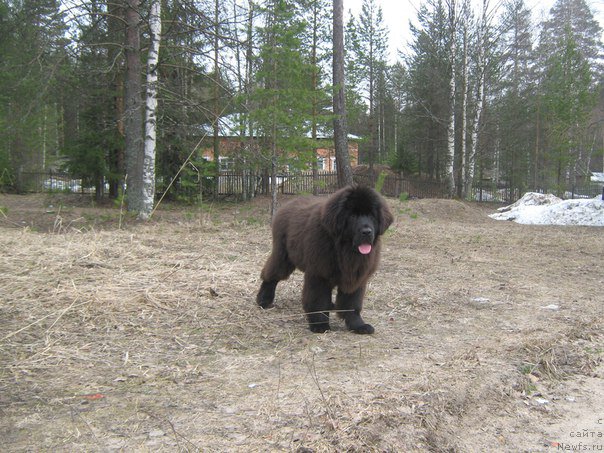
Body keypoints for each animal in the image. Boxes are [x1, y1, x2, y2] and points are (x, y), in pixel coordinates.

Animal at [256, 184, 394, 332]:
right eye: (352, 216)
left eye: (371, 215)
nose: (367, 232)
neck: (344, 250)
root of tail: (288, 204)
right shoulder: (319, 275)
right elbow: (318, 301)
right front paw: (320, 325)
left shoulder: (357, 277)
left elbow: (352, 303)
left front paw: (358, 325)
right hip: (283, 256)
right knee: (272, 274)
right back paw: (263, 299)